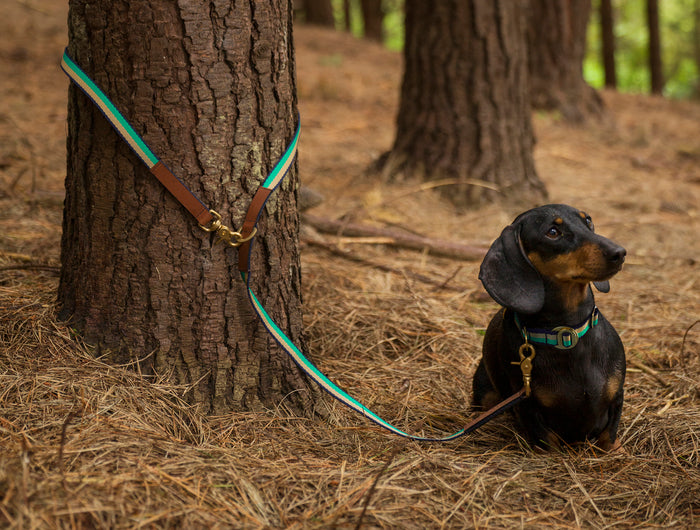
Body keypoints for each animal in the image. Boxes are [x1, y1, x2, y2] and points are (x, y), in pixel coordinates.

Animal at [474, 204, 628, 448]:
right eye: (553, 232)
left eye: (588, 221)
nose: (620, 253)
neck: (568, 332)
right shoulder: (528, 408)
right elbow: (548, 441)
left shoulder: (617, 397)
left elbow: (608, 438)